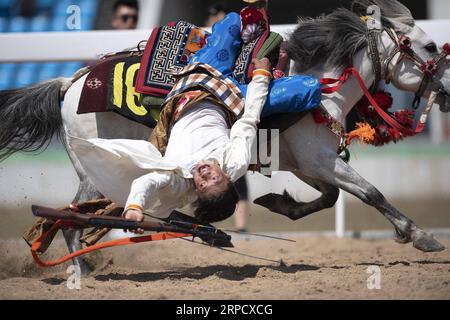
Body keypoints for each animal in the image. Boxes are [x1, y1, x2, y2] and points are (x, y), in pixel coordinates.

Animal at [0, 0, 448, 276]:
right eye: (429, 46)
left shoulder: (306, 161)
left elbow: (329, 197)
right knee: (72, 217)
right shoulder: (319, 159)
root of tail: (70, 83)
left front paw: (278, 203)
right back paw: (81, 270)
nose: (447, 90)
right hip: (96, 169)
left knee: (75, 214)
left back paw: (86, 264)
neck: (320, 84)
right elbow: (370, 193)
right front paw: (420, 236)